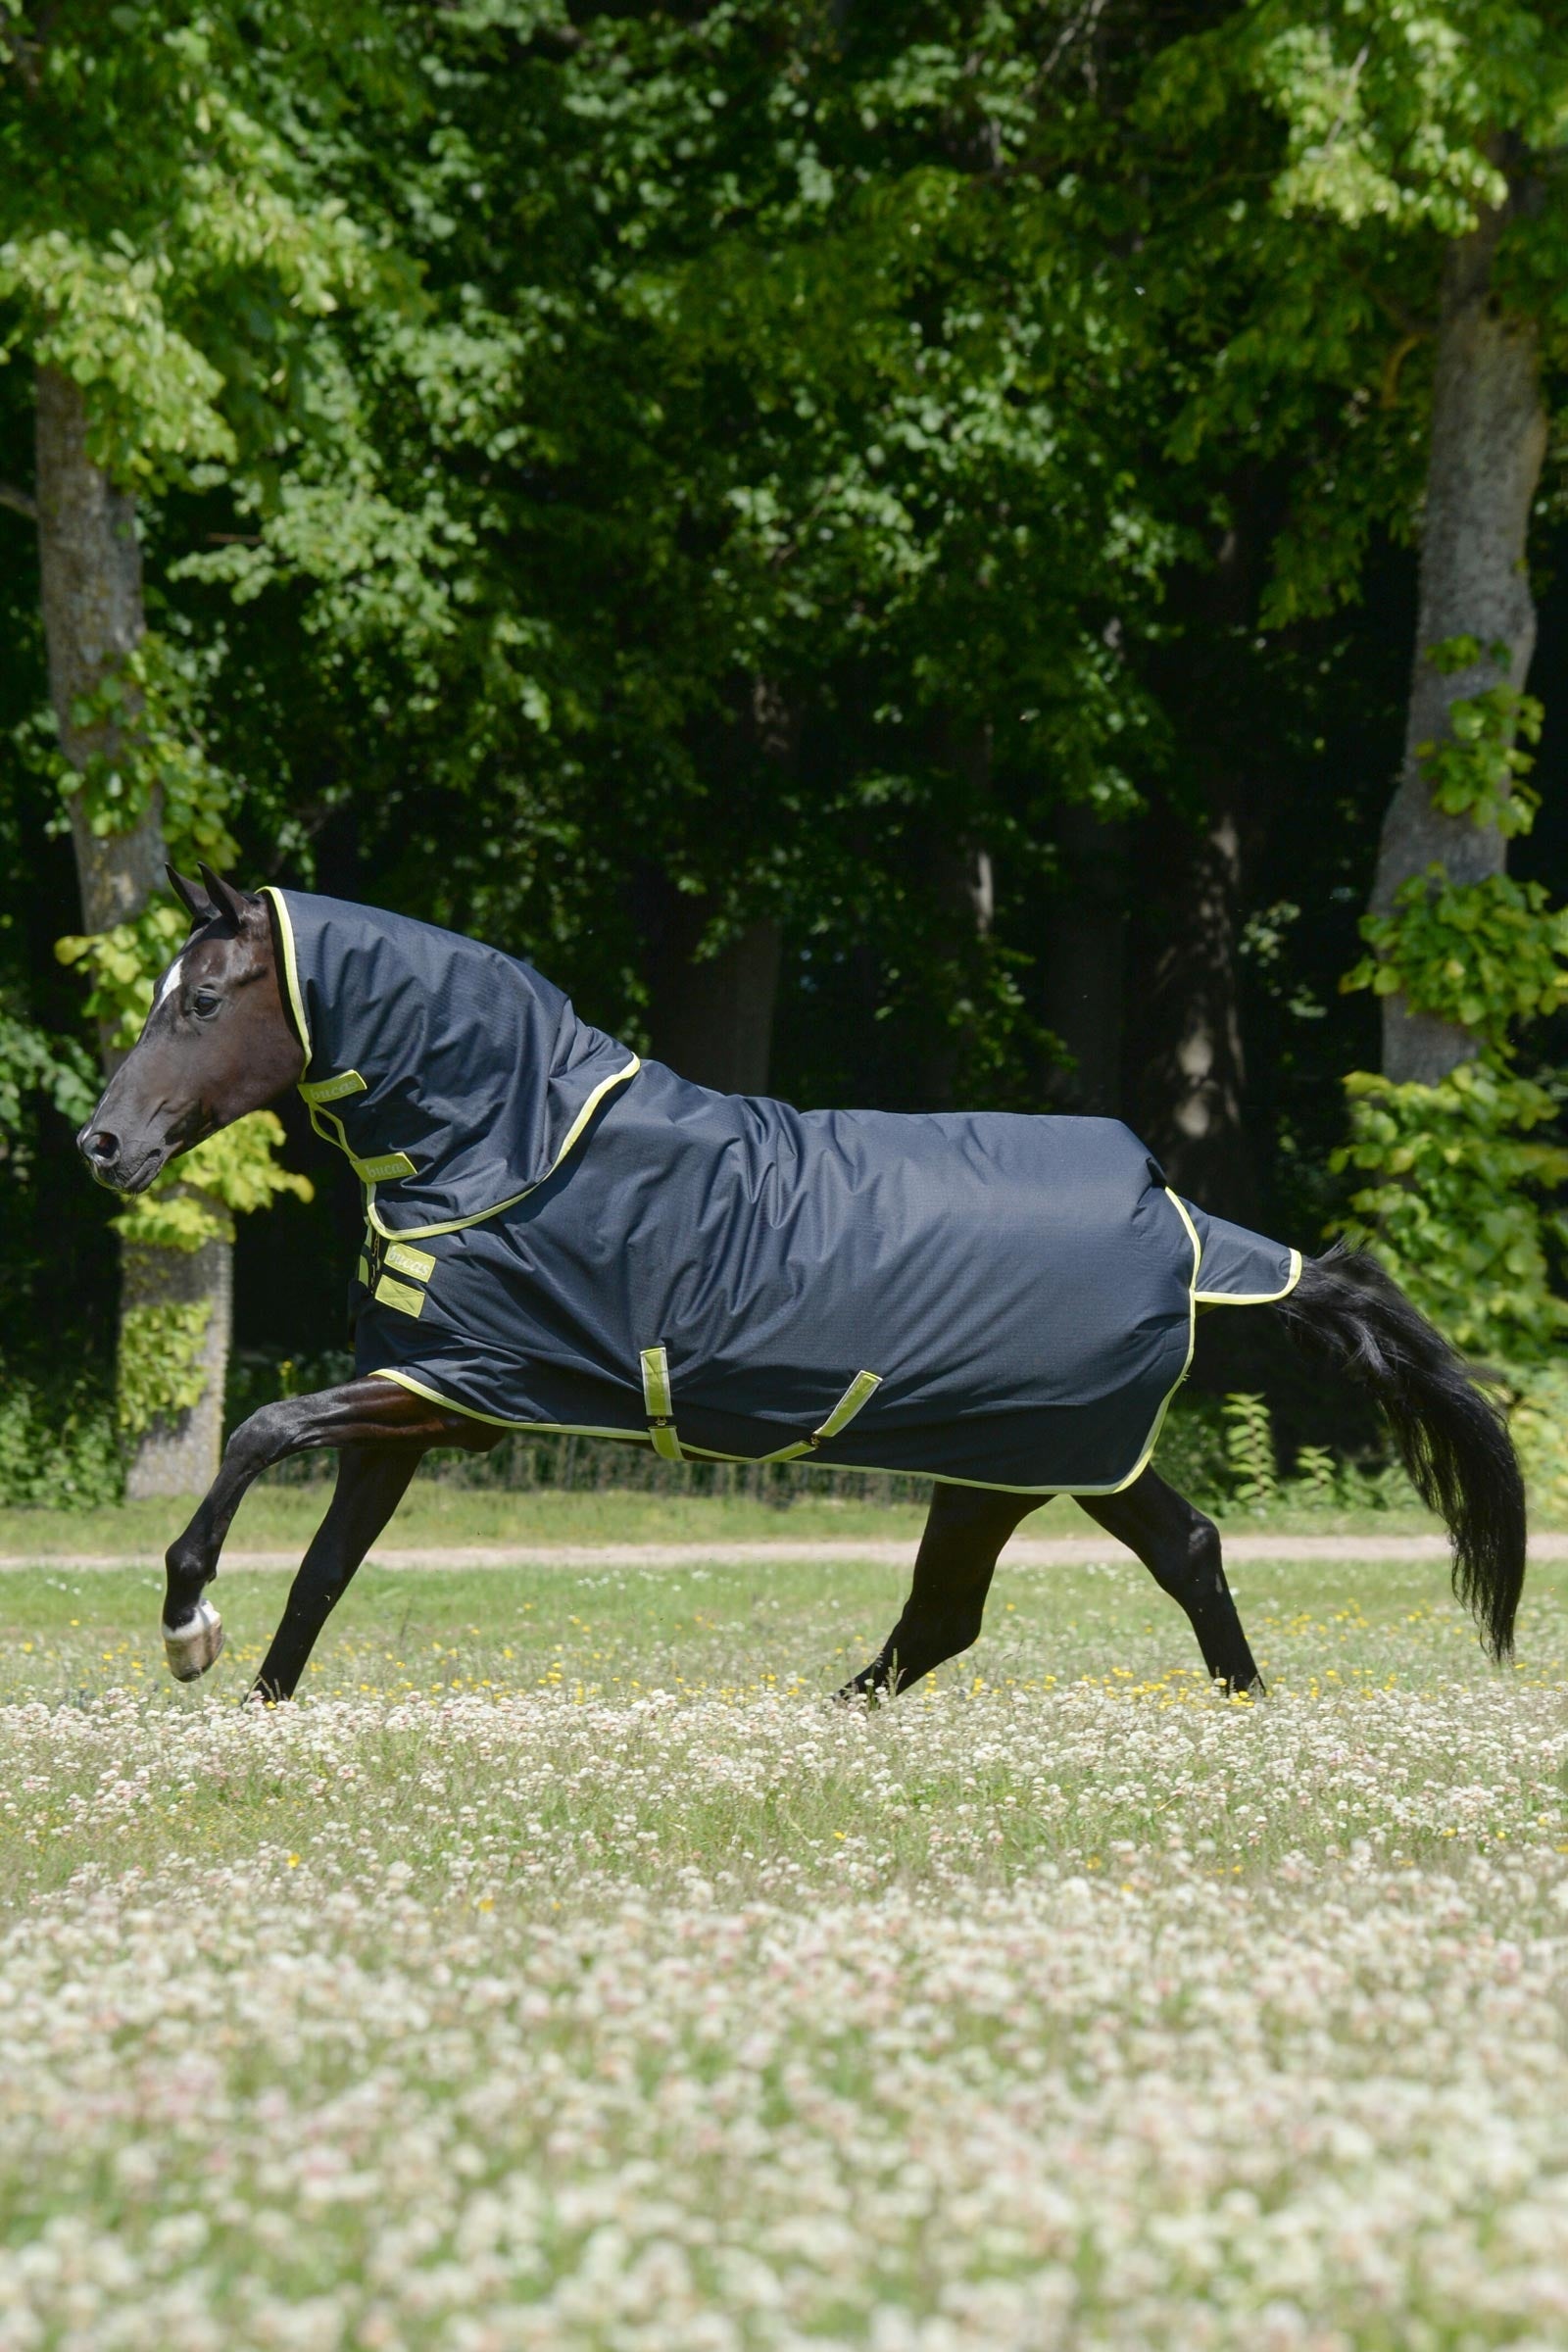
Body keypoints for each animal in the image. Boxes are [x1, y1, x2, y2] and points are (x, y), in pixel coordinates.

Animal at [77, 864, 1526, 1704]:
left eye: (201, 999)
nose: (103, 1145)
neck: (513, 1140)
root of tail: (1176, 1214)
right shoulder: (422, 1398)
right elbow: (325, 1573)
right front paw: (257, 1705)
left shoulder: (460, 1392)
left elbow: (261, 1434)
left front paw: (187, 1626)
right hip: (1032, 1460)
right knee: (1129, 1566)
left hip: (1028, 1456)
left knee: (989, 1604)